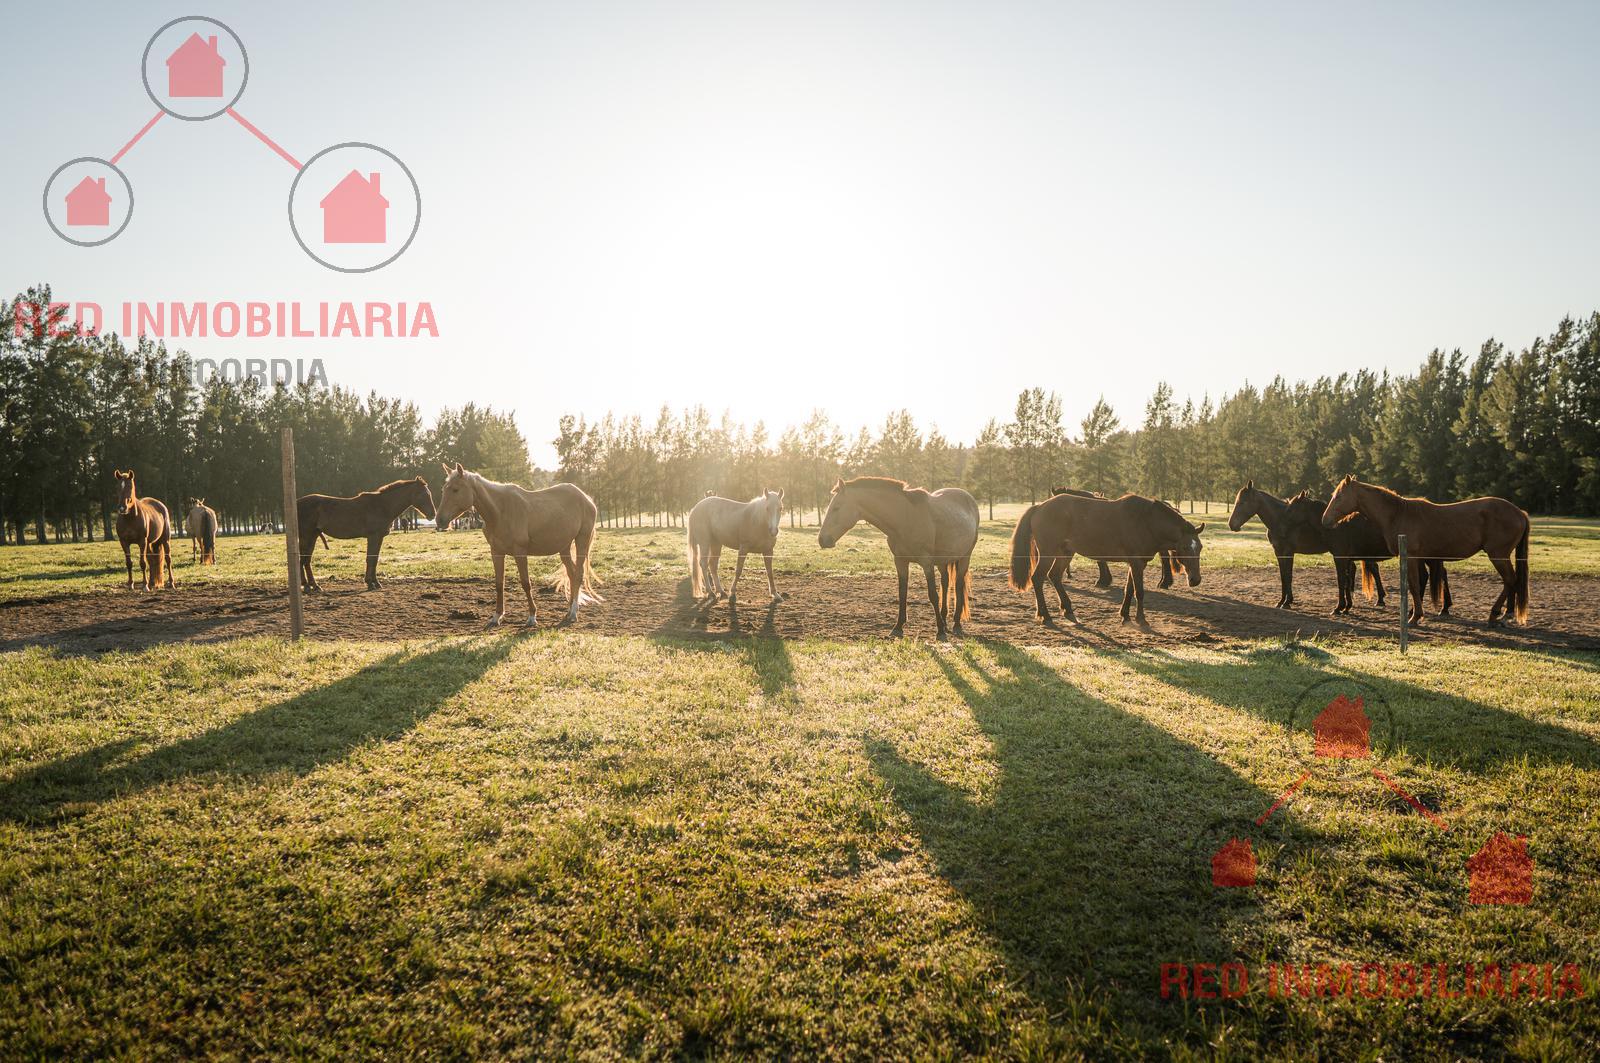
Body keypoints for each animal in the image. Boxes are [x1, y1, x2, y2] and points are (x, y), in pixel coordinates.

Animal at [297, 477, 435, 592]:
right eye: (424, 494)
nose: (433, 514)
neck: (382, 506)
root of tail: (297, 503)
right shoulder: (373, 537)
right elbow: (371, 559)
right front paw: (370, 583)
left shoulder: (378, 538)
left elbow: (375, 559)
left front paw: (375, 582)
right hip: (306, 536)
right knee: (303, 560)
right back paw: (307, 586)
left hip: (313, 536)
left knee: (306, 560)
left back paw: (314, 585)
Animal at [435, 461, 601, 627]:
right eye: (443, 489)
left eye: (455, 489)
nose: (439, 520)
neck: (500, 511)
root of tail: (586, 498)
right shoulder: (496, 552)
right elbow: (499, 584)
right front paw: (497, 616)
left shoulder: (520, 552)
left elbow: (526, 583)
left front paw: (532, 617)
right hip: (564, 547)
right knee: (572, 574)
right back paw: (569, 611)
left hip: (582, 540)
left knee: (578, 574)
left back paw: (573, 613)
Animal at [819, 473, 979, 640]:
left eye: (836, 508)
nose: (822, 539)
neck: (904, 518)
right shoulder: (900, 562)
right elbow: (902, 593)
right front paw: (898, 627)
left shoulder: (926, 563)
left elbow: (933, 595)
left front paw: (940, 631)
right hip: (943, 560)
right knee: (946, 582)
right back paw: (945, 619)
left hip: (965, 557)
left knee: (959, 586)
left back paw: (956, 624)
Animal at [1011, 493, 1203, 627]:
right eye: (1185, 548)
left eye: (1199, 547)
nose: (1195, 580)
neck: (1146, 521)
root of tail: (1039, 507)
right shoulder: (1136, 562)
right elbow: (1139, 592)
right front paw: (1141, 619)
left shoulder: (1137, 563)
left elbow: (1129, 590)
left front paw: (1125, 616)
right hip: (1048, 553)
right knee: (1037, 578)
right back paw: (1045, 616)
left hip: (1065, 553)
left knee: (1055, 576)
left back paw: (1068, 610)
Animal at [1318, 477, 1529, 627]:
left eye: (1338, 496)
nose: (1325, 521)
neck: (1397, 514)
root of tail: (1520, 512)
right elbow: (1416, 584)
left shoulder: (1411, 557)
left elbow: (1413, 584)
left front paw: (1414, 617)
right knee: (1512, 581)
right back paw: (1505, 614)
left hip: (1498, 555)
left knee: (1510, 580)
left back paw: (1495, 615)